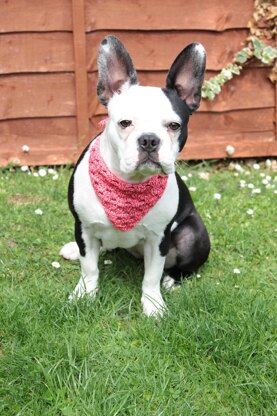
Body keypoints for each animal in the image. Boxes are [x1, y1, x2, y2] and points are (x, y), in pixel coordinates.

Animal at [60, 35, 209, 316]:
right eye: (125, 123)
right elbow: (89, 267)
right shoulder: (83, 227)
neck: (128, 185)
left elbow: (151, 276)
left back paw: (171, 279)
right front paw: (85, 293)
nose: (149, 140)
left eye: (174, 126)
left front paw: (153, 305)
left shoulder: (158, 238)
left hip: (194, 235)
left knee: (182, 266)